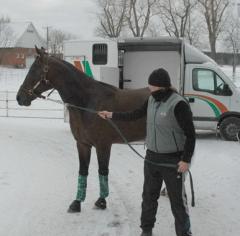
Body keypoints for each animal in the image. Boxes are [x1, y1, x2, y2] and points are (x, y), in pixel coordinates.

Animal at [15, 47, 149, 213]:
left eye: (34, 70)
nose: (19, 97)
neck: (88, 103)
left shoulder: (103, 146)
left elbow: (103, 171)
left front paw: (101, 201)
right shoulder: (82, 144)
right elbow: (83, 171)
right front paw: (77, 202)